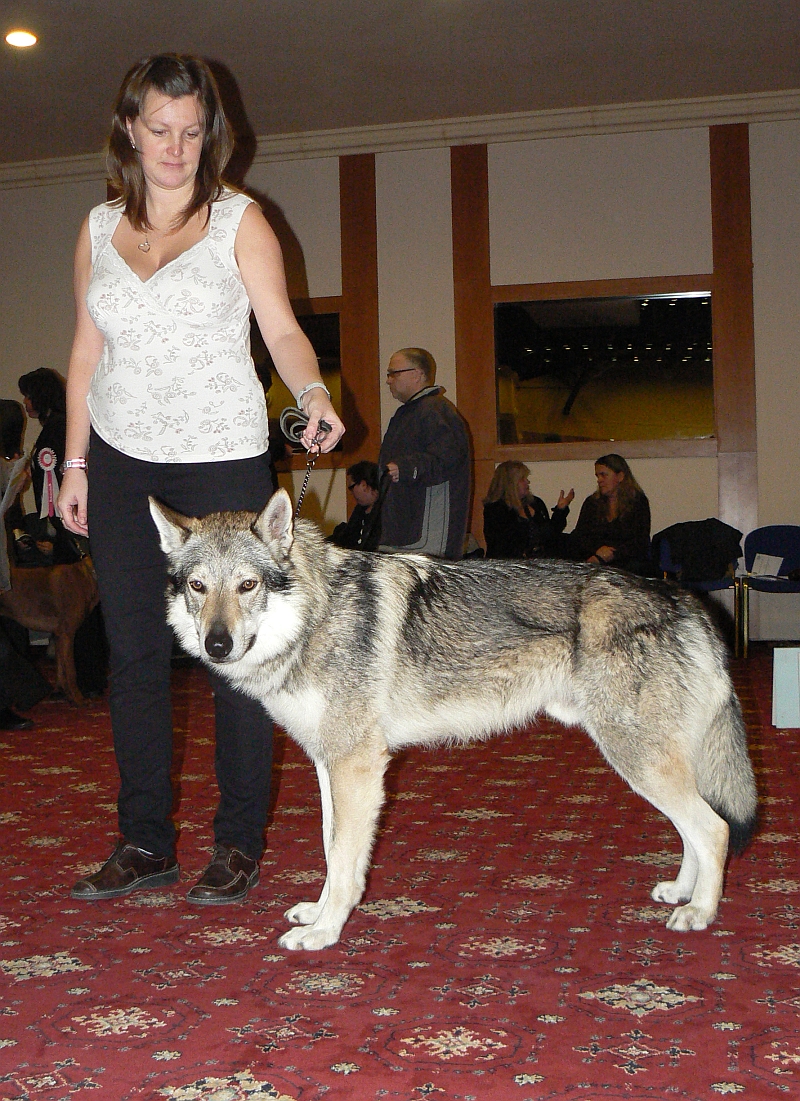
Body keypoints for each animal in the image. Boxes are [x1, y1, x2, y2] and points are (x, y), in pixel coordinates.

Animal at [0, 559, 99, 704]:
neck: (87, 575)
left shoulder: (58, 635)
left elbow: (61, 670)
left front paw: (65, 694)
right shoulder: (67, 634)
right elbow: (71, 672)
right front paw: (79, 699)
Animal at [148, 495, 757, 951]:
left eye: (247, 585)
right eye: (198, 587)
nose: (217, 645)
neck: (314, 618)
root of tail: (687, 601)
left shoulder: (357, 766)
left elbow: (345, 858)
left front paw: (325, 931)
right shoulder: (328, 763)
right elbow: (329, 845)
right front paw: (318, 912)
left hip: (637, 758)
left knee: (715, 828)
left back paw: (700, 913)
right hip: (647, 762)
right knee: (694, 828)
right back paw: (681, 893)